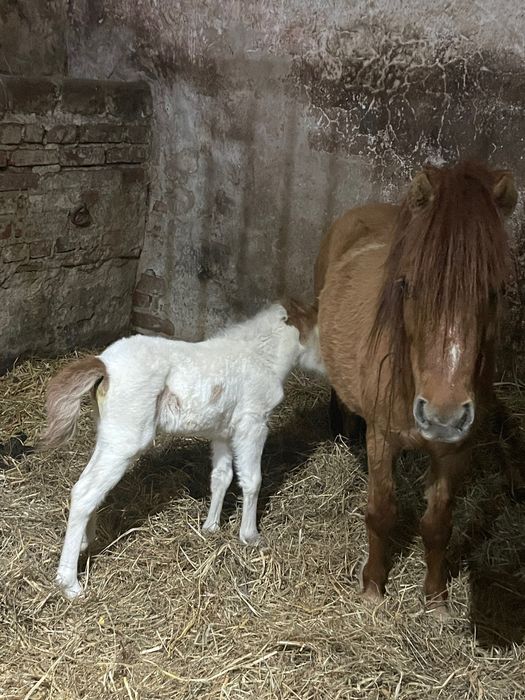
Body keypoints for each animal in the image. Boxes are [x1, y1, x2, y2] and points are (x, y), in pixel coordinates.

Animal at [41, 298, 322, 600]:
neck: (261, 357)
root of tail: (104, 364)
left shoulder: (223, 433)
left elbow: (221, 477)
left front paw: (211, 527)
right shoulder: (253, 425)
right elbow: (252, 480)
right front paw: (250, 536)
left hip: (109, 435)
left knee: (90, 486)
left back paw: (86, 542)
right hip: (126, 440)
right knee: (85, 492)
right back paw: (70, 584)